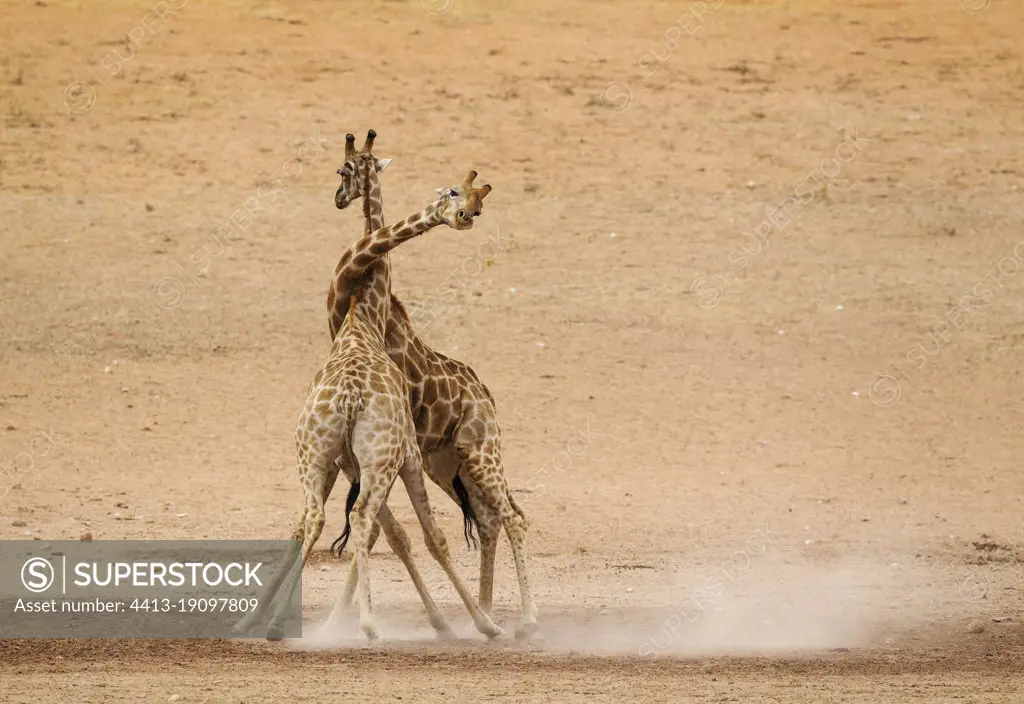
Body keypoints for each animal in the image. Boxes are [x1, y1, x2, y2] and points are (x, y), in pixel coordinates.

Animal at [323, 130, 540, 638]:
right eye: (452, 193)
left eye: (476, 204)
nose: (340, 197)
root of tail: (488, 396)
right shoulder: (372, 457)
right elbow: (384, 531)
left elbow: (386, 531)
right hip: (449, 463)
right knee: (491, 520)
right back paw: (486, 610)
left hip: (482, 452)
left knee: (513, 518)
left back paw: (523, 621)